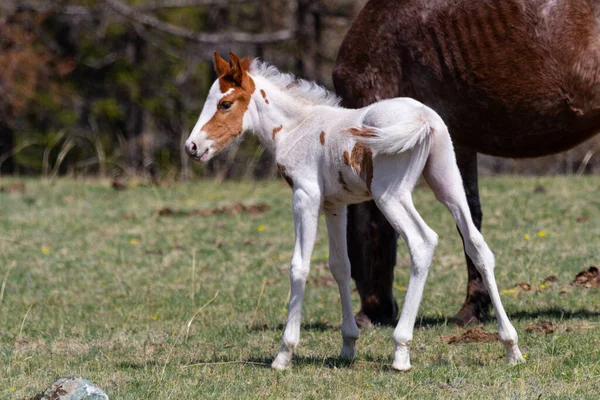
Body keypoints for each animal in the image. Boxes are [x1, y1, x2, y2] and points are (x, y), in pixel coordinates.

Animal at [184, 52, 524, 372]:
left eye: (225, 103)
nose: (192, 147)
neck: (297, 127)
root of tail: (423, 118)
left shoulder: (305, 196)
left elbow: (299, 267)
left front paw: (284, 354)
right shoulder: (335, 205)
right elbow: (340, 266)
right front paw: (348, 345)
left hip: (391, 194)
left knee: (423, 242)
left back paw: (401, 351)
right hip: (448, 182)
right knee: (478, 247)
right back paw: (511, 347)